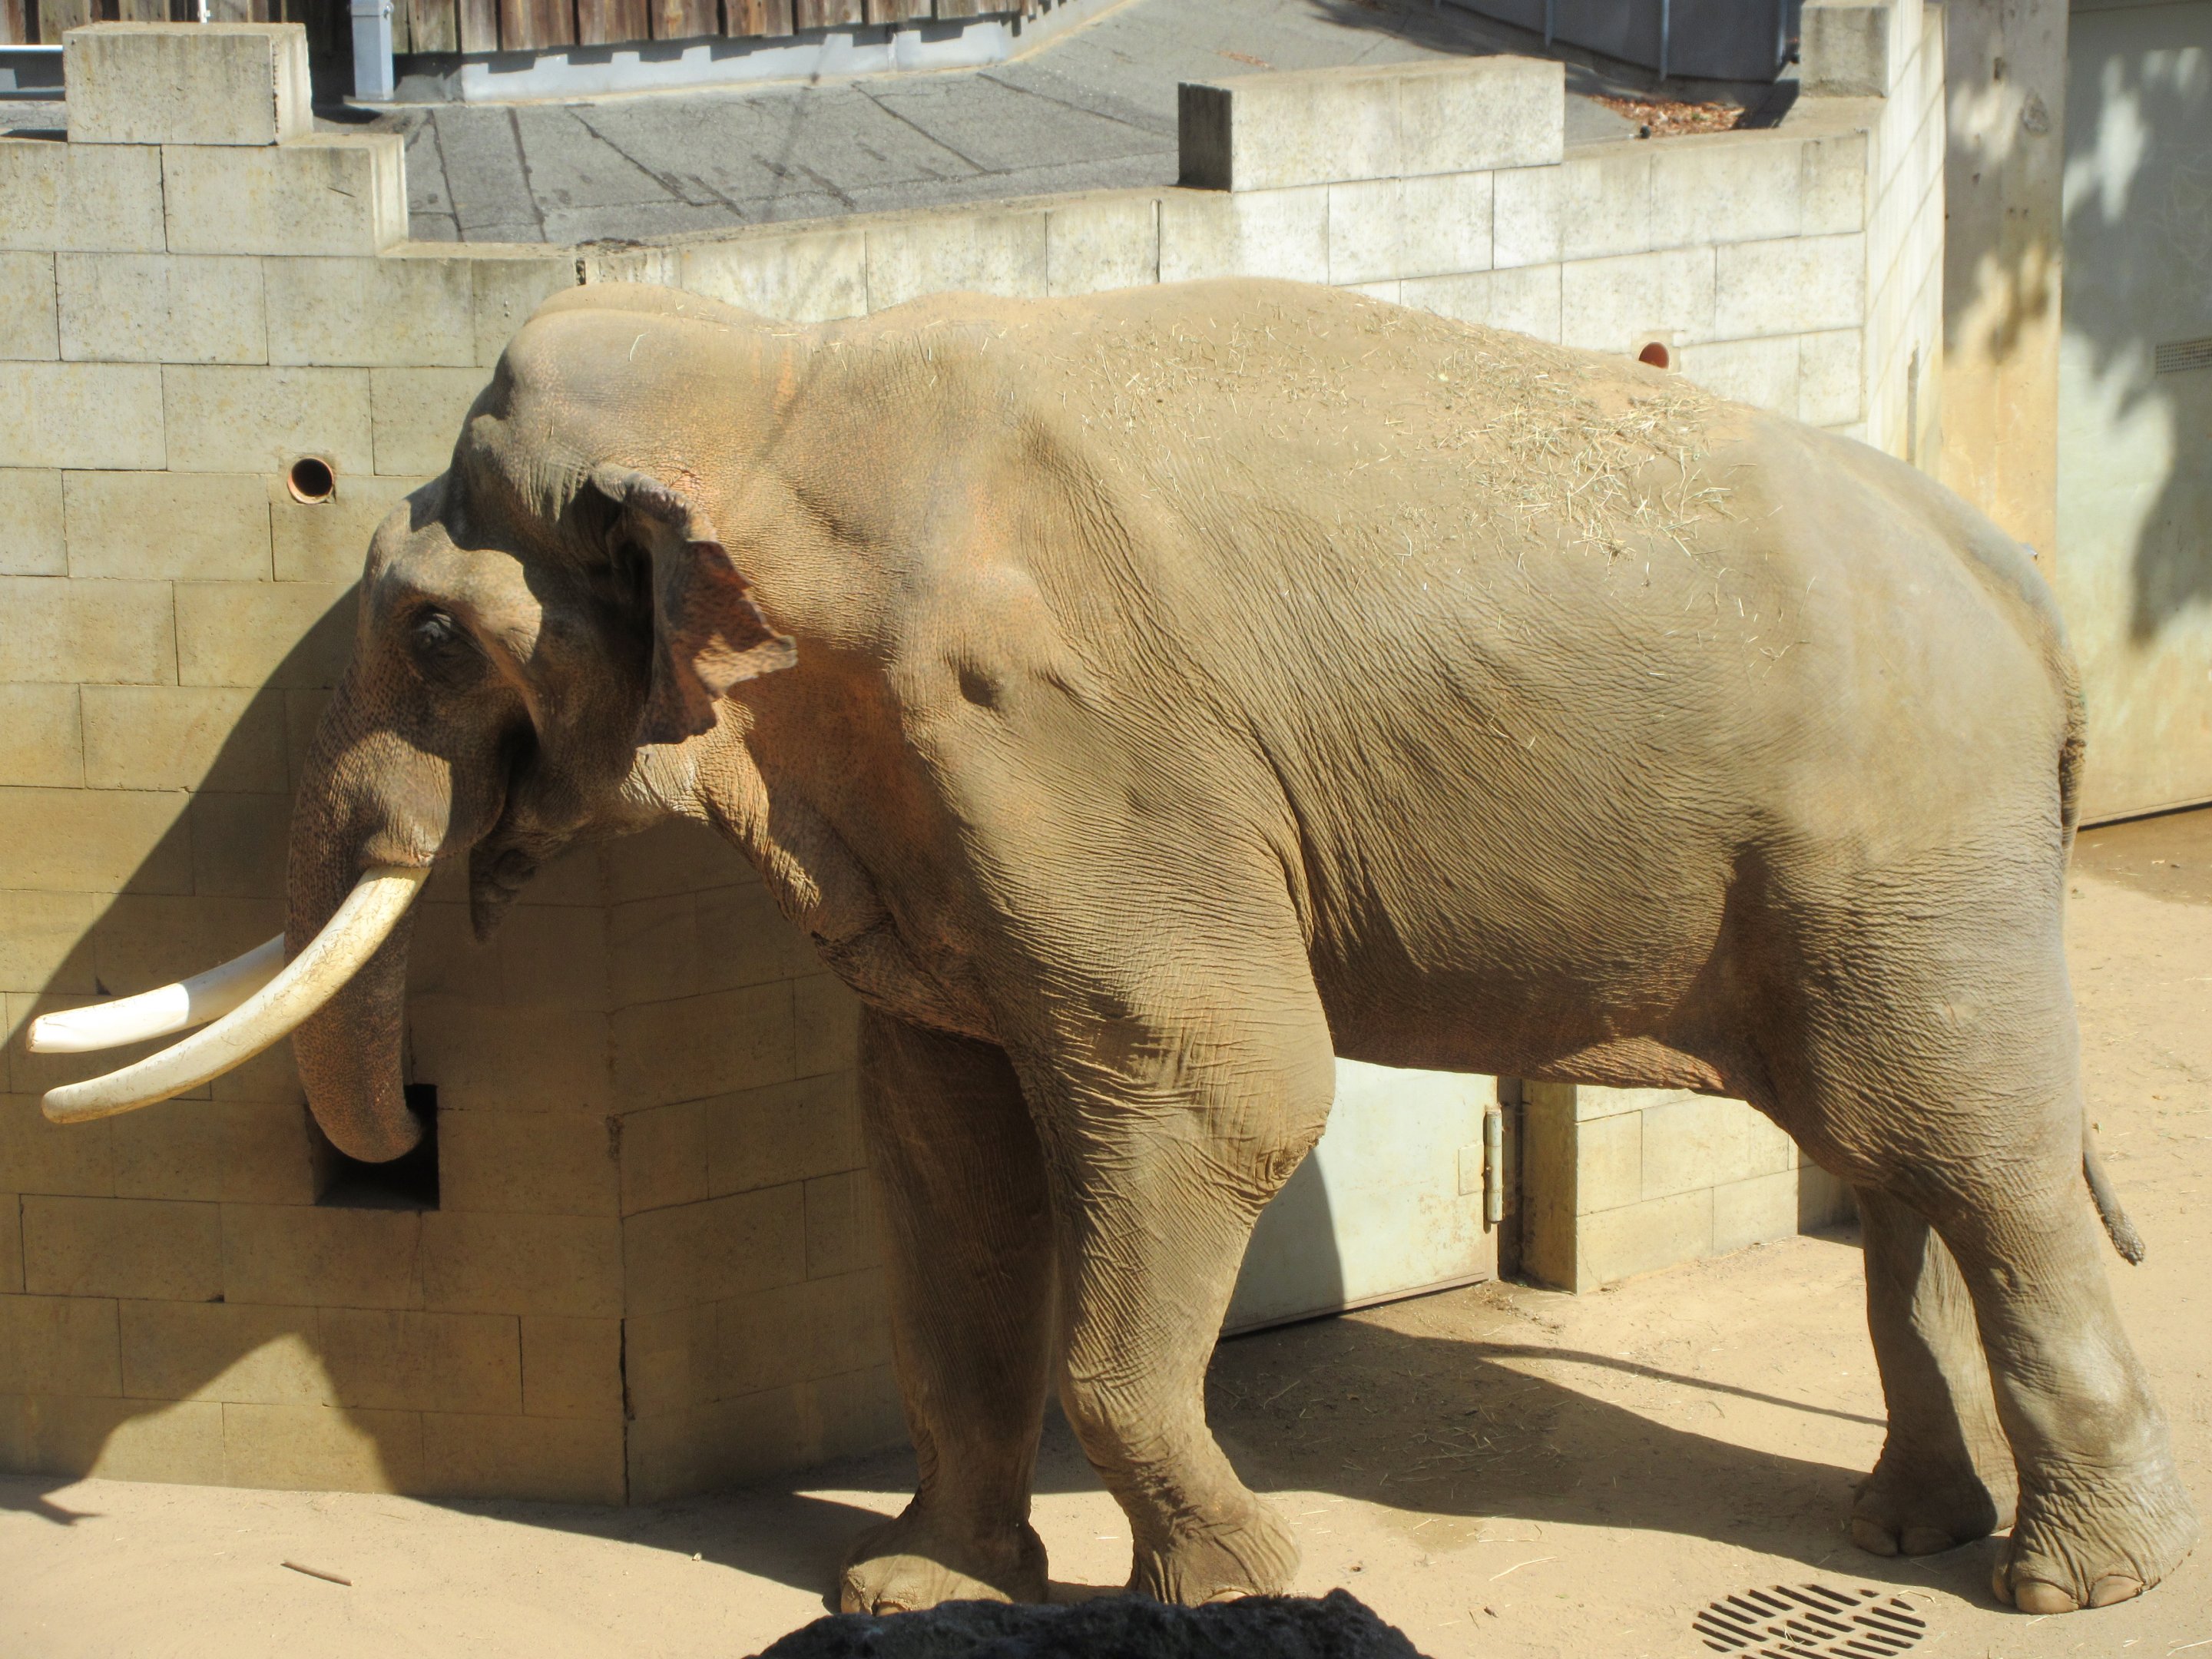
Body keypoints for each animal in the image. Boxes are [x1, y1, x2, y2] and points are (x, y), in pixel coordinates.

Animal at [39, 276, 2195, 1618]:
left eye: (427, 635)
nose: (391, 1154)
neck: (784, 379)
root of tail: (2012, 575)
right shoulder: (931, 803)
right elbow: (939, 1149)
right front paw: (913, 1586)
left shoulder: (1064, 739)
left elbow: (1223, 1089)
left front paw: (1237, 1585)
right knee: (1898, 1160)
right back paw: (1909, 1527)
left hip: (1904, 848)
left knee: (1982, 1162)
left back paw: (2067, 1583)